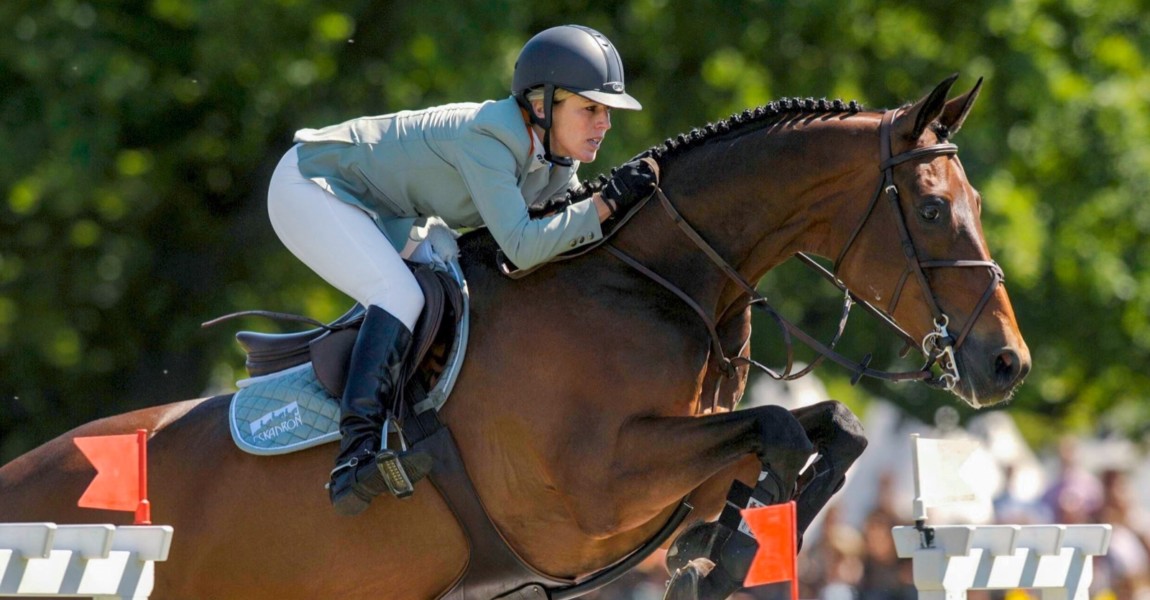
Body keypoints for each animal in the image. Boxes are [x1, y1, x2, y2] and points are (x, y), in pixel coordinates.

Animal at [0, 75, 1025, 597]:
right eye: (932, 210)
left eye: (973, 202)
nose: (1005, 364)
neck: (650, 284)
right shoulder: (592, 491)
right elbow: (775, 430)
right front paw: (723, 554)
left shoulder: (674, 468)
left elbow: (824, 432)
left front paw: (721, 550)